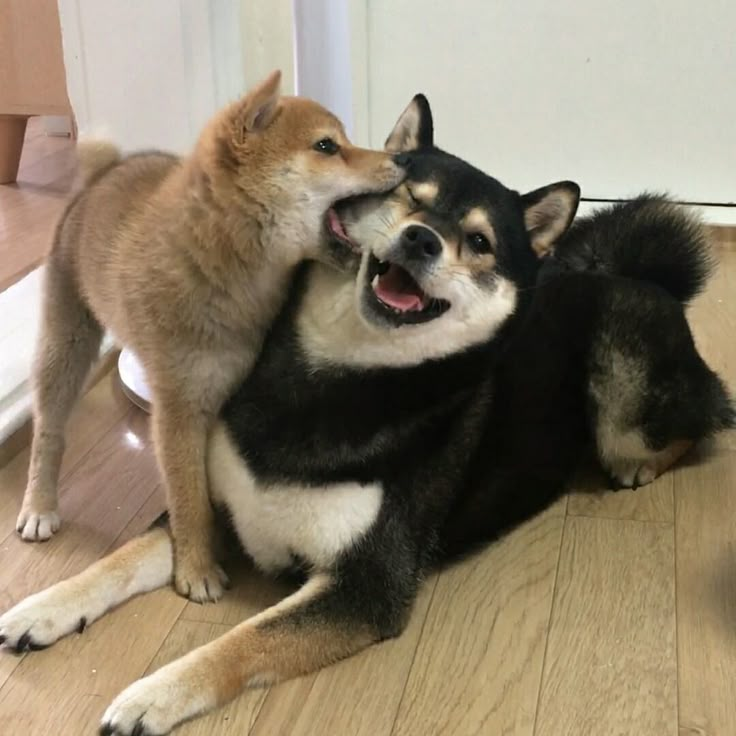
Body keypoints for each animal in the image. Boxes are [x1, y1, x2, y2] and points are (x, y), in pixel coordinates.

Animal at [0, 99, 732, 736]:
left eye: (478, 241)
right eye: (409, 196)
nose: (421, 240)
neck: (334, 380)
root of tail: (632, 275)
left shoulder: (366, 587)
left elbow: (241, 640)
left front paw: (152, 694)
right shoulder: (210, 505)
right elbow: (120, 560)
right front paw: (43, 607)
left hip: (622, 383)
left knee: (698, 419)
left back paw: (638, 467)